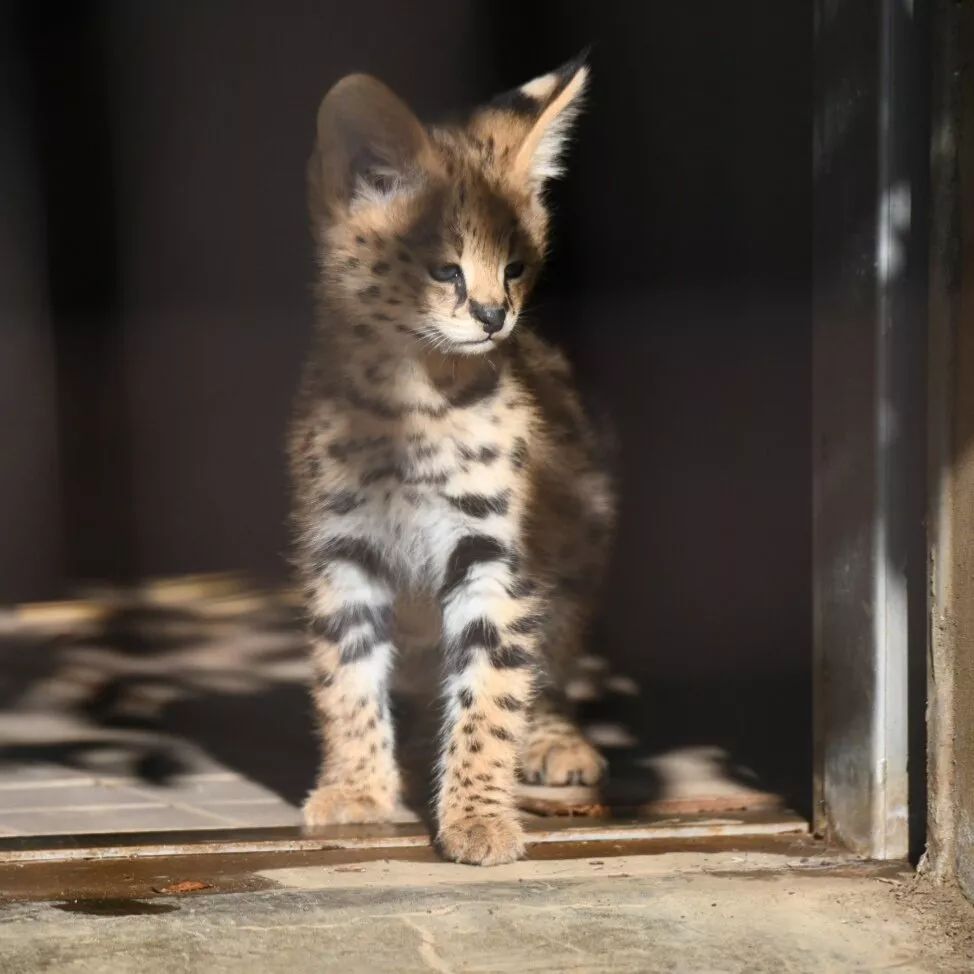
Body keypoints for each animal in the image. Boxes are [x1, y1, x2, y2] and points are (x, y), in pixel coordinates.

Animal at [286, 53, 612, 864]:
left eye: (517, 267)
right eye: (444, 271)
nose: (496, 316)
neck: (413, 397)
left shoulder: (496, 550)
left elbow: (492, 689)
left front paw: (477, 815)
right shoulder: (342, 545)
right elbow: (345, 671)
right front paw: (359, 789)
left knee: (552, 655)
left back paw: (554, 741)